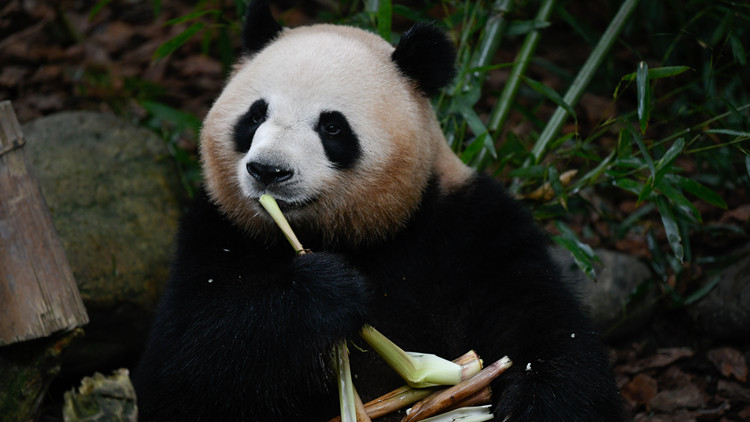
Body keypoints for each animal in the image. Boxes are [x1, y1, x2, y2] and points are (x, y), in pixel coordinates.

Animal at [132, 1, 624, 420]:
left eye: (332, 127)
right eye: (254, 116)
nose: (268, 171)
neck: (347, 234)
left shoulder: (467, 227)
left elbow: (548, 330)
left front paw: (534, 405)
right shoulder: (217, 231)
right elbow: (185, 366)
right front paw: (326, 289)